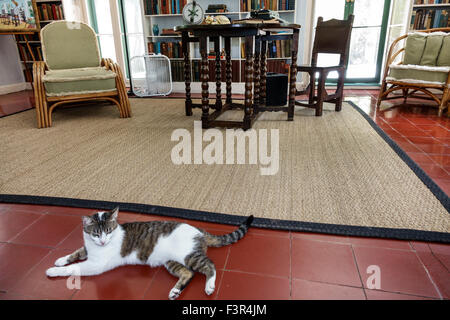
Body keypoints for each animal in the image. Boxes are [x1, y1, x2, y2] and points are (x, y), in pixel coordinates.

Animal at [47, 208, 255, 300]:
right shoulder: (89, 249)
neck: (97, 247)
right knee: (188, 273)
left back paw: (210, 286)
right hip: (171, 261)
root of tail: (200, 230)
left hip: (189, 256)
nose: (103, 241)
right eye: (96, 234)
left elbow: (74, 267)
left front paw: (53, 271)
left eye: (109, 230)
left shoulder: (96, 264)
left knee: (209, 266)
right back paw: (175, 291)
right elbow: (75, 253)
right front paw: (60, 260)